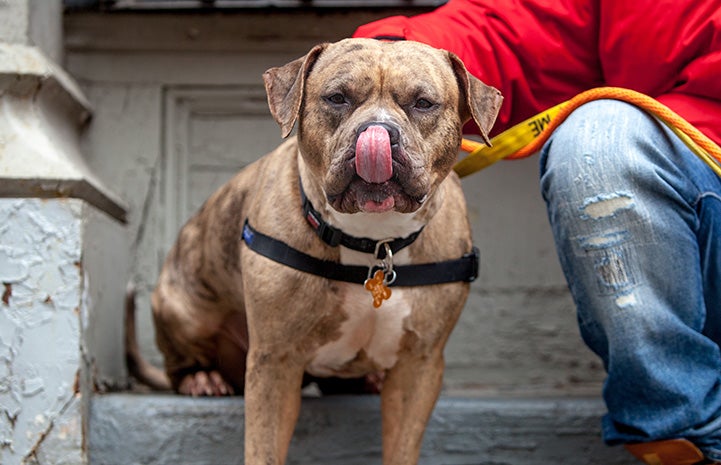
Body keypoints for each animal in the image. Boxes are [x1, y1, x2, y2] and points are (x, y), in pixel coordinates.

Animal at [128, 38, 500, 462]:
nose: (377, 132)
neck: (374, 243)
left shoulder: (419, 365)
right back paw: (202, 379)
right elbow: (264, 448)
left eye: (423, 103)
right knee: (180, 362)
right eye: (337, 98)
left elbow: (402, 446)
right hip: (183, 307)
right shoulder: (274, 361)